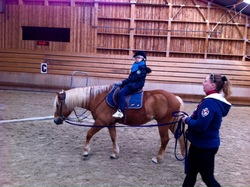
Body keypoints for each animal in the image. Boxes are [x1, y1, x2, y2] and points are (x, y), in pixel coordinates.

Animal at [52, 84, 186, 164]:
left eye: (58, 105)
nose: (56, 120)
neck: (98, 99)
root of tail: (175, 97)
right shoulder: (110, 123)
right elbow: (113, 137)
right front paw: (115, 153)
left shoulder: (100, 122)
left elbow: (89, 134)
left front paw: (85, 151)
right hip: (171, 124)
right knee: (181, 137)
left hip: (163, 124)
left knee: (165, 139)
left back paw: (157, 158)